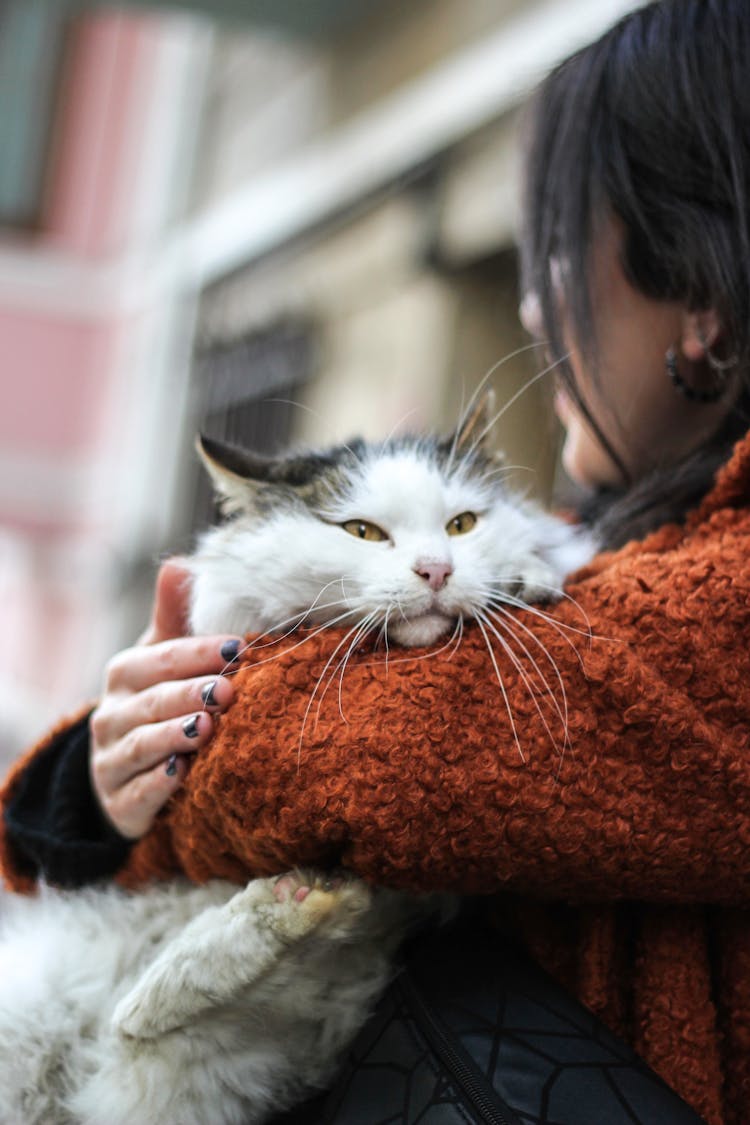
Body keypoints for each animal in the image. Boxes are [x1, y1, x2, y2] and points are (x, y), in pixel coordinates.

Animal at [0, 396, 598, 1125]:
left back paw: (304, 899)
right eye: (363, 531)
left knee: (143, 1027)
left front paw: (530, 576)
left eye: (462, 524)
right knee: (136, 1018)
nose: (437, 570)